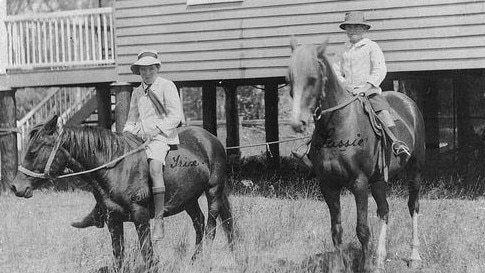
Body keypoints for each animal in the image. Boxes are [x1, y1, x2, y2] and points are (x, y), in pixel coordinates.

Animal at [11, 115, 234, 270]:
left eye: (34, 151)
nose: (16, 187)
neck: (115, 168)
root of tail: (210, 138)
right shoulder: (113, 219)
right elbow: (118, 254)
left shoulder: (140, 216)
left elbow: (147, 253)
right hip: (189, 200)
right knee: (199, 224)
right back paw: (193, 261)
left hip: (213, 191)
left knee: (211, 228)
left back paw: (205, 260)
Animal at [288, 38, 424, 272]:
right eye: (290, 80)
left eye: (313, 78)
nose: (298, 122)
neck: (338, 126)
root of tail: (409, 103)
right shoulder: (328, 185)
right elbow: (336, 229)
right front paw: (340, 267)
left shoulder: (359, 184)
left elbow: (362, 229)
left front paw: (366, 266)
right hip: (378, 180)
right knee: (384, 210)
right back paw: (379, 258)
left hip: (414, 170)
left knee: (412, 206)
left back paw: (414, 257)